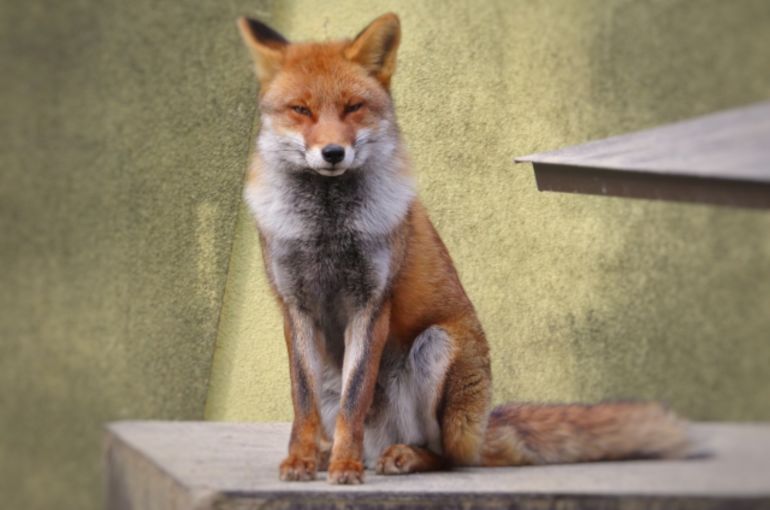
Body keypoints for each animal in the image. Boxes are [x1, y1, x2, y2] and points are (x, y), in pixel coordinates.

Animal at [236, 13, 690, 485]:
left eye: (353, 107)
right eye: (301, 110)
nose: (332, 152)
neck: (326, 228)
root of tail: (481, 428)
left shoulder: (372, 303)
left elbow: (353, 401)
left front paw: (346, 466)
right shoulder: (295, 306)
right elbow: (302, 401)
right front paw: (302, 460)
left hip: (436, 349)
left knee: (445, 456)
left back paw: (398, 457)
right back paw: (333, 455)